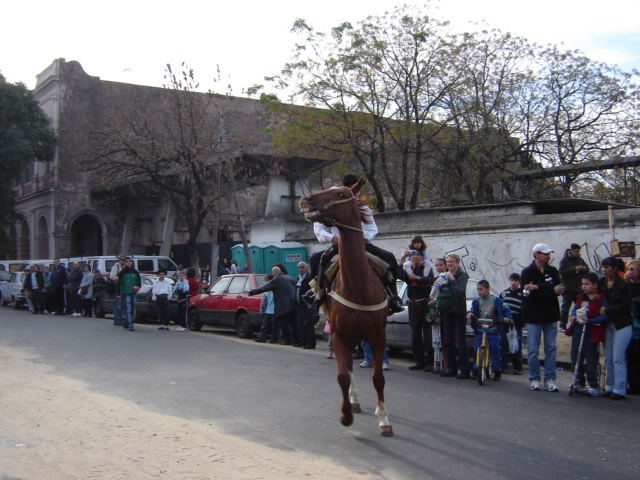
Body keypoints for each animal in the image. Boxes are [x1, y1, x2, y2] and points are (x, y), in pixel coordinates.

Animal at [298, 178, 392, 436]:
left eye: (340, 194)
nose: (306, 199)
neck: (359, 285)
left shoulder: (378, 335)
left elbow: (378, 378)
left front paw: (384, 419)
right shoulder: (339, 334)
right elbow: (342, 375)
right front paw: (346, 415)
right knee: (348, 369)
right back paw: (354, 401)